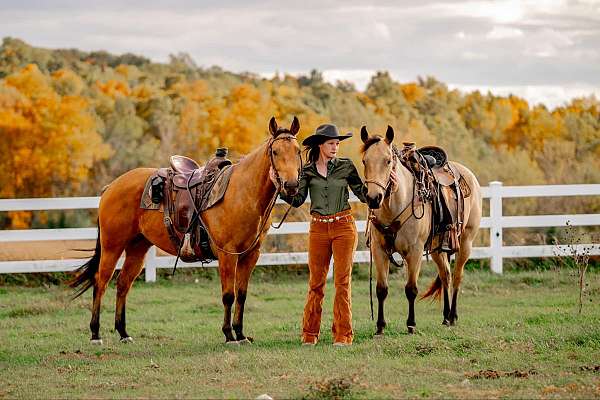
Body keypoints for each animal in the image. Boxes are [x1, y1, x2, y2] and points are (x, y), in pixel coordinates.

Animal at [70, 115, 302, 344]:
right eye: (275, 151)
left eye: (298, 151)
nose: (291, 185)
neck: (241, 193)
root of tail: (111, 187)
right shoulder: (228, 254)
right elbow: (229, 295)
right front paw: (228, 335)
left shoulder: (251, 255)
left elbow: (242, 294)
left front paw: (241, 333)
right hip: (112, 246)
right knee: (101, 282)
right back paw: (95, 334)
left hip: (138, 247)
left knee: (123, 284)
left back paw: (123, 333)